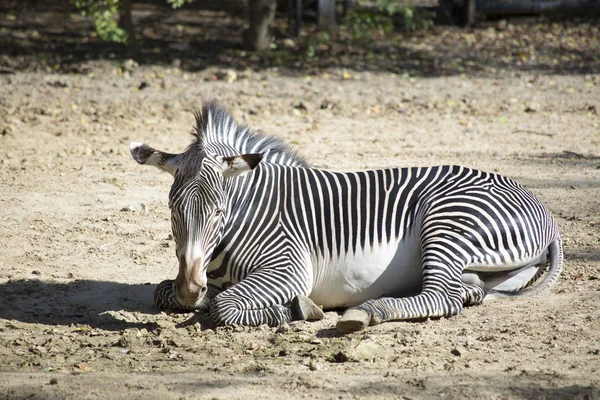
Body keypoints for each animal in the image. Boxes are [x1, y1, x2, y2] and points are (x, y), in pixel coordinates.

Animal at [130, 102, 564, 332]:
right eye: (172, 209)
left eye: (219, 211)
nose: (191, 287)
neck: (248, 212)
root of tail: (538, 203)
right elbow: (163, 291)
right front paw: (192, 297)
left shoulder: (289, 267)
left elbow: (224, 306)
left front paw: (295, 309)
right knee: (462, 290)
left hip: (446, 220)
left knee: (442, 295)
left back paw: (369, 311)